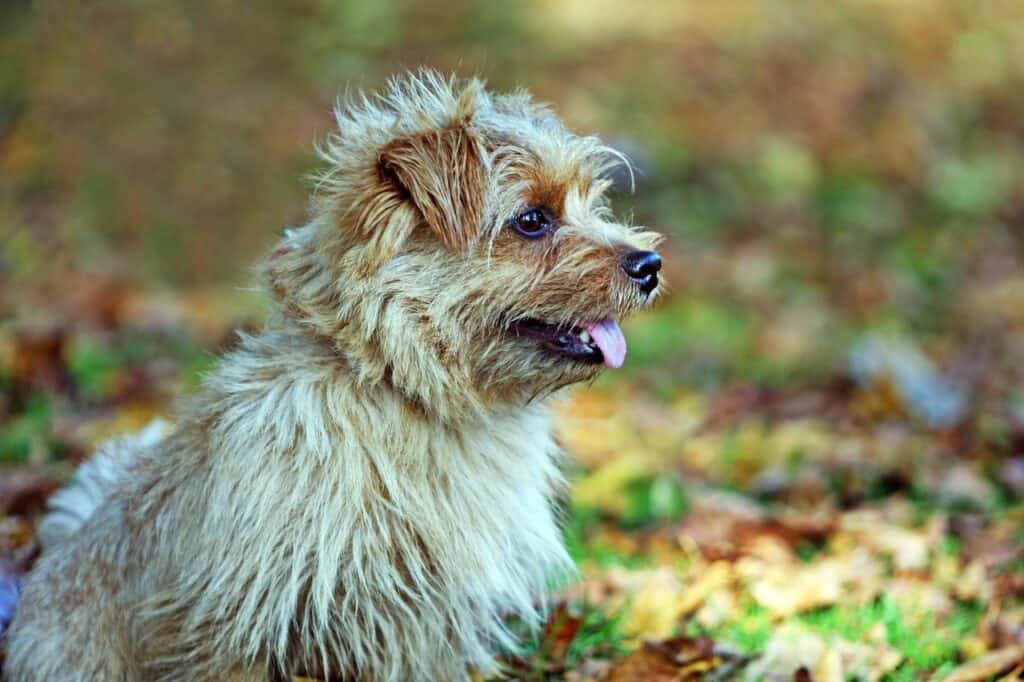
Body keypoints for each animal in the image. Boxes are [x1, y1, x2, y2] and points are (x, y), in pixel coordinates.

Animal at [4, 71, 663, 675]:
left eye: (590, 204)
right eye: (531, 220)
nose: (650, 263)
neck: (402, 392)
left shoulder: (425, 630)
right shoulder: (233, 625)